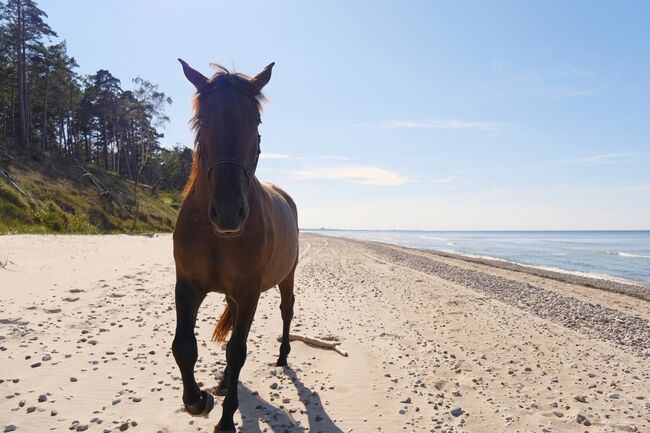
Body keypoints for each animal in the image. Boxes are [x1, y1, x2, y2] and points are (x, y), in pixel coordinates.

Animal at [168, 58, 298, 432]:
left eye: (255, 121)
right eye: (203, 120)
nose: (228, 211)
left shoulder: (249, 291)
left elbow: (238, 351)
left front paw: (226, 419)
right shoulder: (188, 286)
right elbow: (184, 346)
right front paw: (198, 400)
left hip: (286, 277)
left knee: (287, 310)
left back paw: (282, 356)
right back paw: (225, 383)